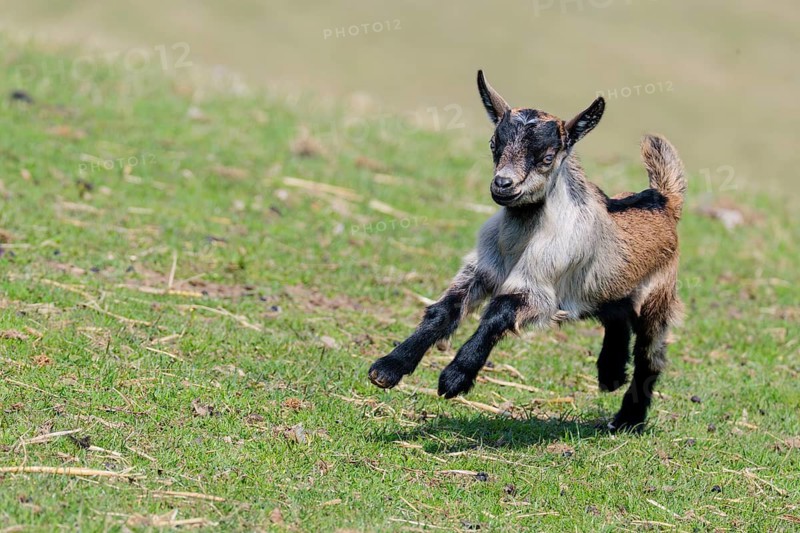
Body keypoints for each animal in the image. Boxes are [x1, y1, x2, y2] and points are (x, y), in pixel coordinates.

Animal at [368, 70, 686, 431]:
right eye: (494, 144)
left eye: (547, 157)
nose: (503, 185)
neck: (519, 242)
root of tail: (664, 200)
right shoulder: (480, 271)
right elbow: (443, 310)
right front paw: (388, 368)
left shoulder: (540, 290)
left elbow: (499, 311)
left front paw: (455, 378)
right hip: (603, 287)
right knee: (616, 316)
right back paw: (610, 374)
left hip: (659, 298)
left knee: (650, 356)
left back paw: (627, 419)